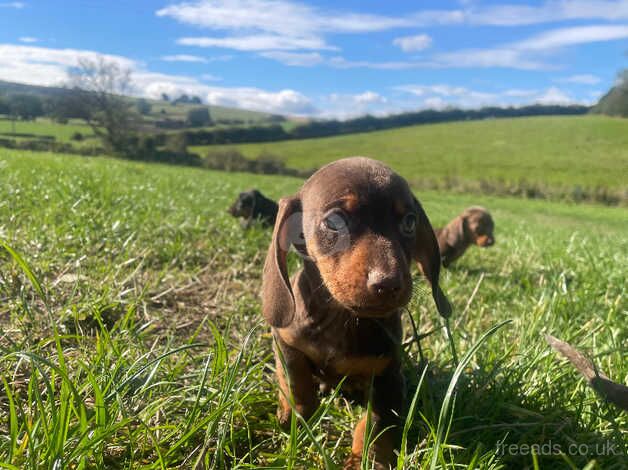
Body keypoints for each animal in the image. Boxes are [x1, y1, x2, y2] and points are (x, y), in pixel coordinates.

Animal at [262, 157, 452, 466]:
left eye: (410, 222)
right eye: (334, 221)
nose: (389, 284)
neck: (340, 319)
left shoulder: (389, 378)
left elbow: (376, 425)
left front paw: (366, 459)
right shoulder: (286, 342)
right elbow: (296, 382)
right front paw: (295, 417)